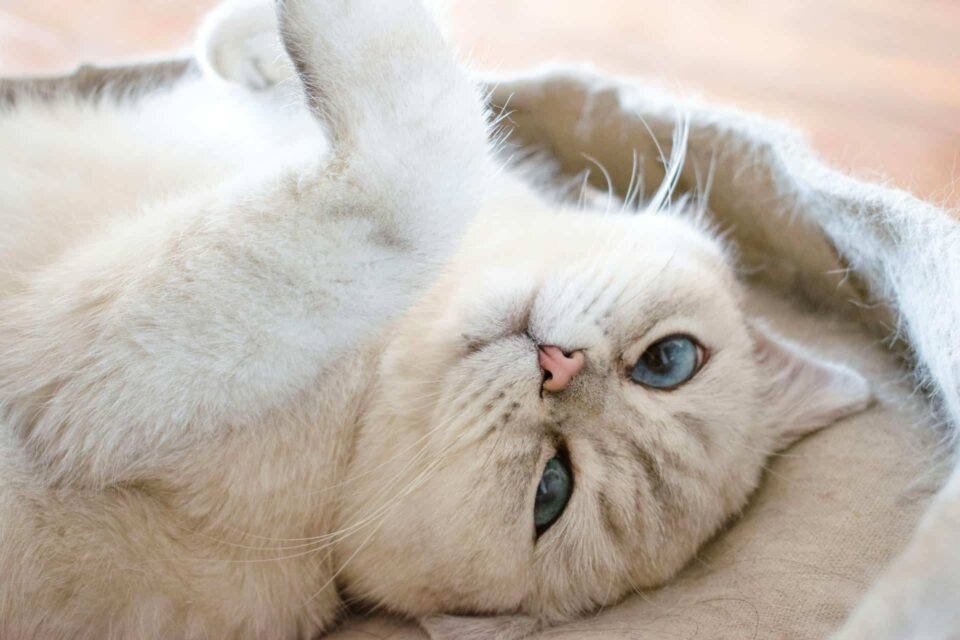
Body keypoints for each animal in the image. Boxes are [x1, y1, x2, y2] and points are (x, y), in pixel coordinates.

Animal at [0, 1, 872, 640]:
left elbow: (429, 158)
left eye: (551, 492)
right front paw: (250, 50)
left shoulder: (83, 369)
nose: (556, 366)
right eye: (671, 362)